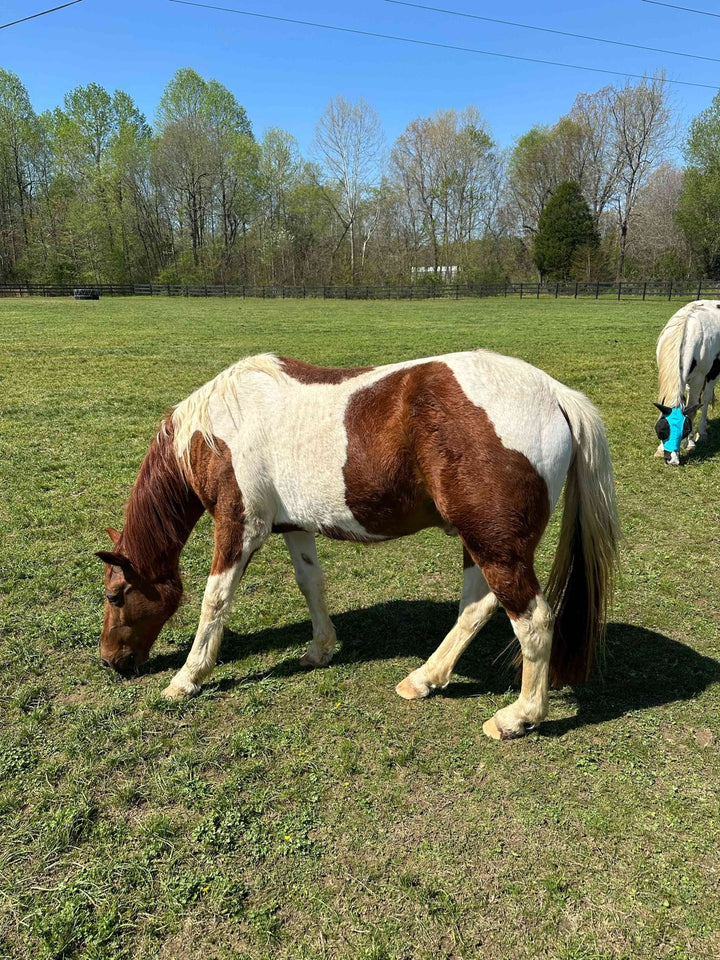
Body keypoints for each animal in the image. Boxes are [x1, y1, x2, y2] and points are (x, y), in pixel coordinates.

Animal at [97, 348, 620, 740]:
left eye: (116, 595)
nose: (111, 662)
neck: (219, 427)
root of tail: (554, 393)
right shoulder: (293, 526)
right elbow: (311, 584)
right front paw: (320, 649)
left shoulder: (239, 525)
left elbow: (215, 600)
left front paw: (187, 678)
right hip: (481, 543)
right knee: (477, 606)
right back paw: (424, 679)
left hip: (493, 544)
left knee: (532, 620)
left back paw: (519, 717)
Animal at [656, 300, 720, 464]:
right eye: (662, 430)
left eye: (685, 430)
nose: (672, 460)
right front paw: (660, 449)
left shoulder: (699, 378)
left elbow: (692, 411)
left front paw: (690, 443)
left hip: (712, 374)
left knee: (706, 398)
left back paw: (702, 433)